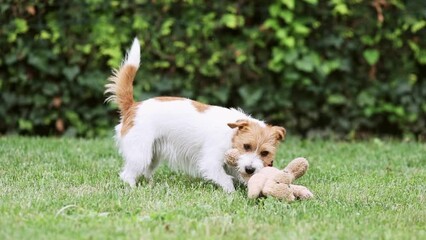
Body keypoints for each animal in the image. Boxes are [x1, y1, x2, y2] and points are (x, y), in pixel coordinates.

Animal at [105, 39, 288, 193]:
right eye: (246, 146)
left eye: (265, 153)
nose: (250, 169)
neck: (231, 134)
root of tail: (133, 106)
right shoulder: (211, 162)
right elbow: (226, 179)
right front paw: (233, 194)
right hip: (140, 152)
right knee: (127, 174)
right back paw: (133, 188)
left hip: (153, 153)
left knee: (146, 170)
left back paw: (152, 185)